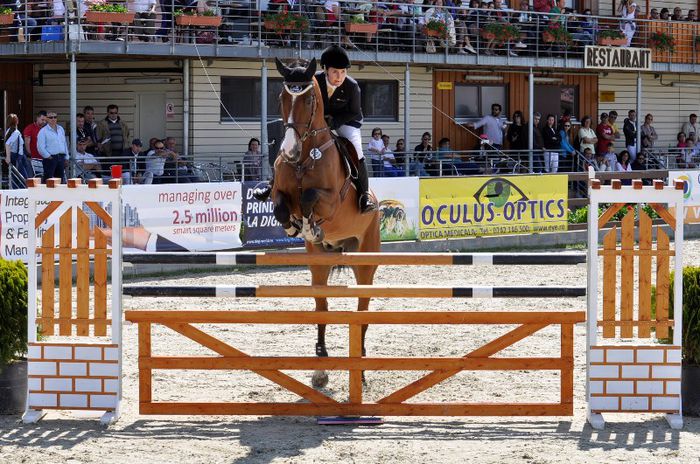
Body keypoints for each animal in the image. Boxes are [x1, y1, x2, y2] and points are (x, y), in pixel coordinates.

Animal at [270, 59, 380, 392]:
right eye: (282, 97)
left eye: (308, 100)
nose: (289, 151)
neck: (305, 156)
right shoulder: (280, 194)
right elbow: (280, 206)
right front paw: (295, 226)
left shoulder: (331, 202)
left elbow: (310, 197)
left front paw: (308, 224)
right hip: (319, 261)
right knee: (322, 306)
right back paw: (320, 367)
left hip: (365, 259)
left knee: (362, 308)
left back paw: (361, 370)